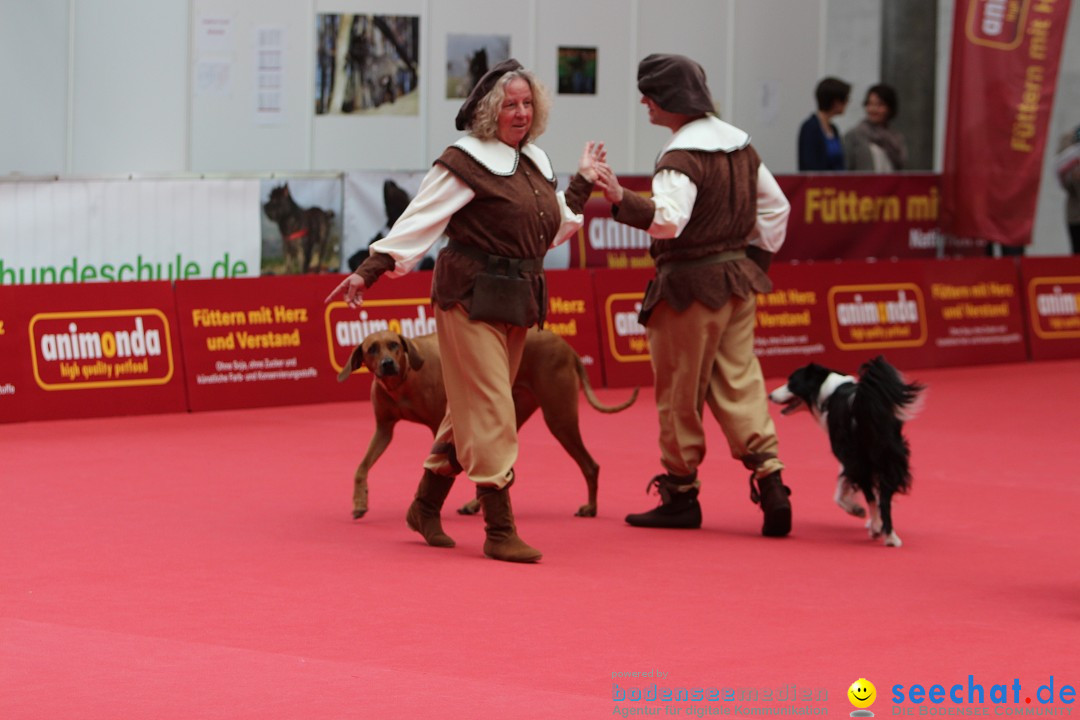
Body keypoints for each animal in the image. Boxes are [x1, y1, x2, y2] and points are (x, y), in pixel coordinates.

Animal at [336, 330, 635, 520]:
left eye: (394, 345)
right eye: (372, 349)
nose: (387, 364)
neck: (403, 380)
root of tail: (567, 347)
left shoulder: (438, 427)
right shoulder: (383, 429)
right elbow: (361, 467)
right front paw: (360, 501)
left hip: (559, 418)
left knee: (590, 465)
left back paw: (590, 507)